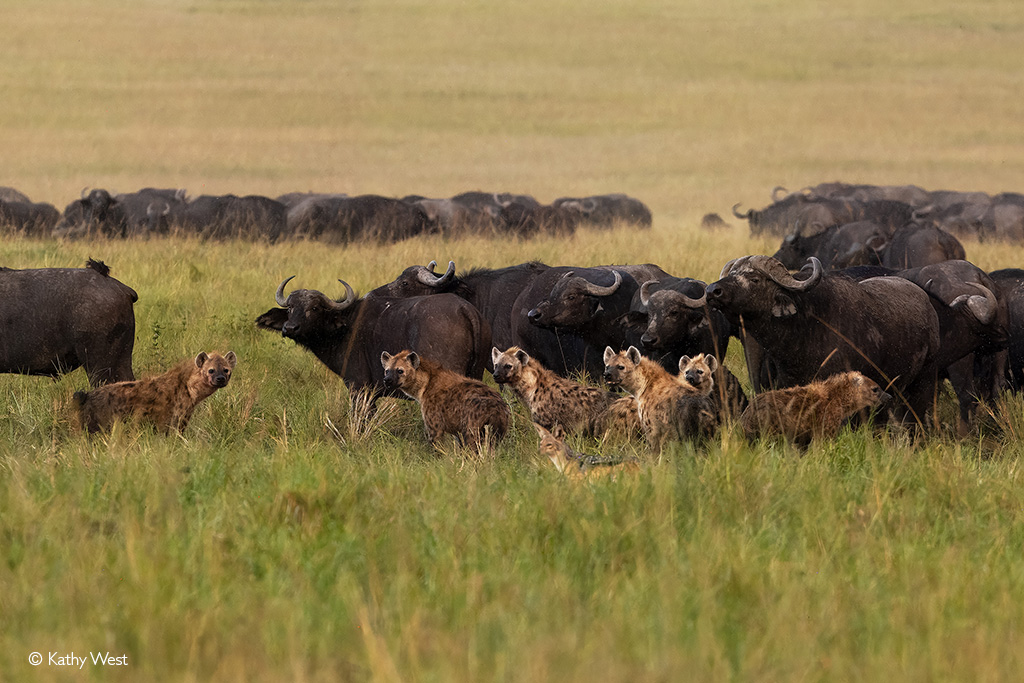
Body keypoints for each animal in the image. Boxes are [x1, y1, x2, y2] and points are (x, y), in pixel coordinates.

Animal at [258, 276, 493, 395]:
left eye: (314, 308)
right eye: (290, 308)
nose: (290, 328)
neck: (346, 325)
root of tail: (466, 309)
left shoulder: (359, 387)